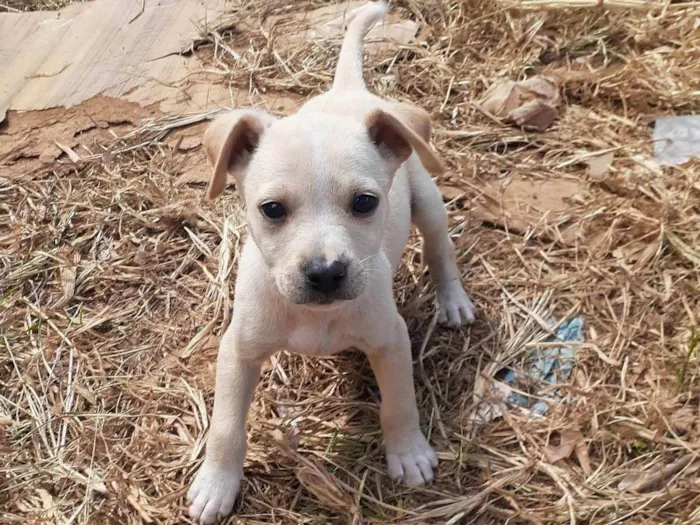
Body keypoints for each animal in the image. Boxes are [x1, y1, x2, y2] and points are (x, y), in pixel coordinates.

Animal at [187, 3, 476, 520]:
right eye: (272, 209)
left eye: (364, 203)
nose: (325, 274)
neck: (314, 316)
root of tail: (349, 92)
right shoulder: (238, 350)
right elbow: (226, 425)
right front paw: (216, 484)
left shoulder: (390, 339)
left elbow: (399, 402)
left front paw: (408, 453)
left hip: (428, 200)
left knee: (439, 249)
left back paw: (453, 301)